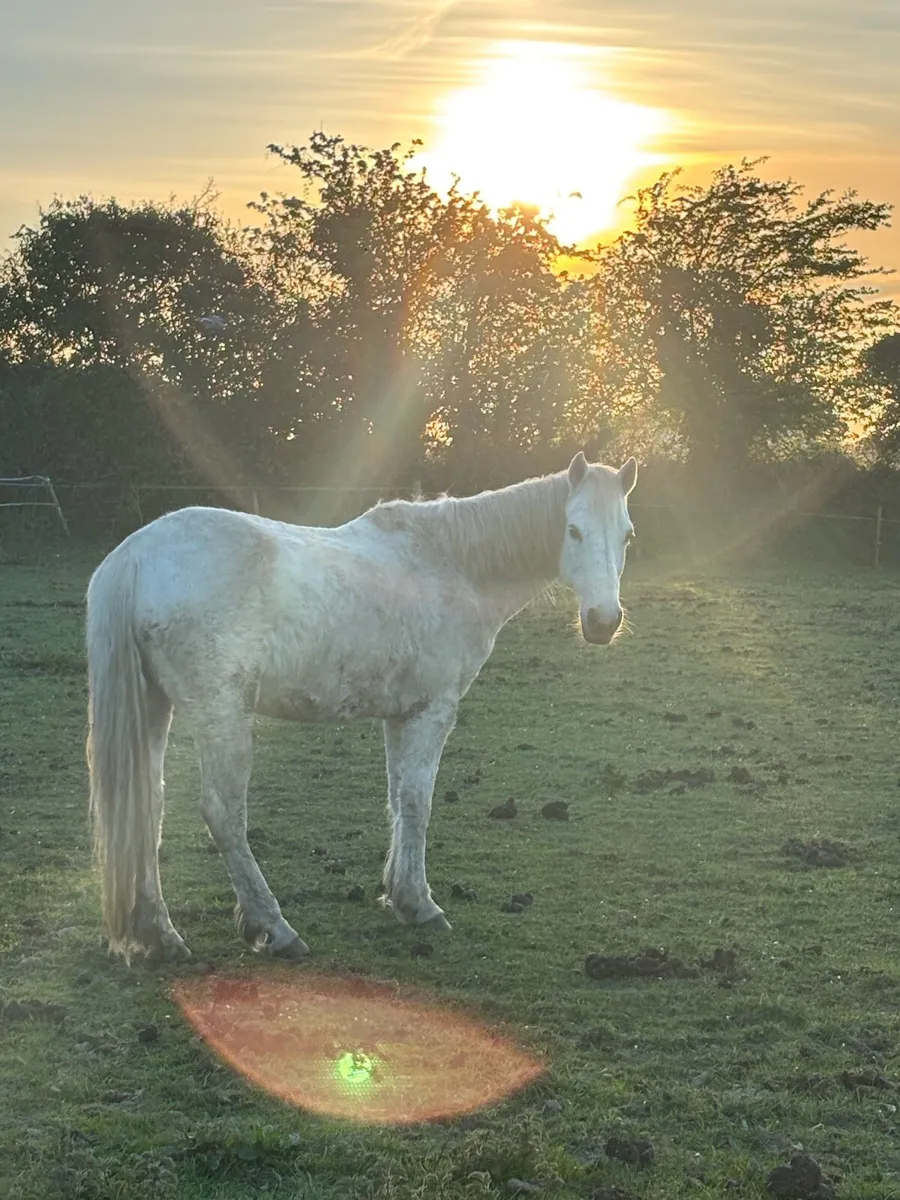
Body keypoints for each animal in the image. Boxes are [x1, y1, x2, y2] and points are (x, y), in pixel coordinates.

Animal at [86, 451, 637, 962]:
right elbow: (417, 802)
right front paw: (420, 905)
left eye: (627, 536)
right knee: (223, 814)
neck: (451, 564)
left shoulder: (400, 715)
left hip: (155, 709)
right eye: (573, 530)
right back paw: (274, 928)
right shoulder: (432, 712)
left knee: (147, 807)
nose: (603, 622)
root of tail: (136, 555)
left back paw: (160, 936)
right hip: (221, 716)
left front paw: (399, 894)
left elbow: (397, 800)